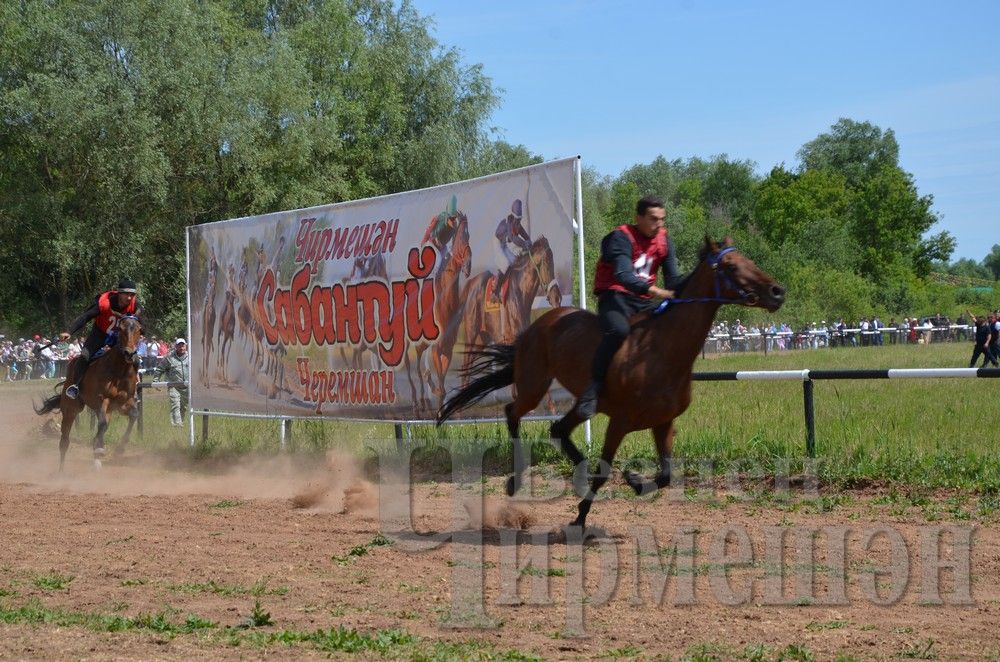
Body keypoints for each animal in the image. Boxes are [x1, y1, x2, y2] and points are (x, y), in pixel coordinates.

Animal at [34, 316, 143, 472]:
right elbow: (102, 424)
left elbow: (133, 415)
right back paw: (61, 470)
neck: (119, 370)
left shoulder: (123, 402)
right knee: (64, 441)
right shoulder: (102, 400)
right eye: (121, 329)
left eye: (139, 330)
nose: (129, 353)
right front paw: (99, 448)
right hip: (71, 409)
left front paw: (119, 449)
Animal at [442, 241, 784, 532]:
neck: (662, 349)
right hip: (534, 385)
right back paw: (517, 480)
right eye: (730, 265)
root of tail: (538, 323)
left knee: (557, 428)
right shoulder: (619, 422)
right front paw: (580, 517)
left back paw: (578, 475)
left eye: (747, 260)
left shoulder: (662, 423)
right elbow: (605, 470)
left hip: (580, 403)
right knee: (513, 412)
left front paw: (633, 480)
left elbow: (666, 476)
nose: (777, 292)